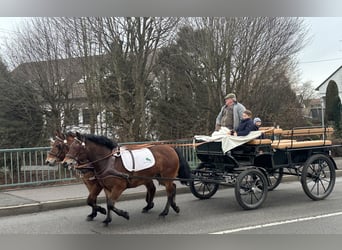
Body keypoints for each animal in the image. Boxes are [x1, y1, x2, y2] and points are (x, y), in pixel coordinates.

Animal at [62, 132, 191, 226]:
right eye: (68, 147)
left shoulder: (118, 187)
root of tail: (171, 147)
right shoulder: (106, 188)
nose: (65, 163)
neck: (109, 162)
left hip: (166, 177)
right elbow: (105, 202)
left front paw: (124, 214)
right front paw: (107, 219)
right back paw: (173, 207)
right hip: (160, 177)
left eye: (76, 147)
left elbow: (110, 204)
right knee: (172, 188)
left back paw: (164, 212)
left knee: (169, 192)